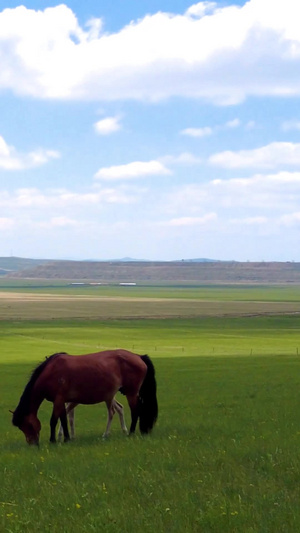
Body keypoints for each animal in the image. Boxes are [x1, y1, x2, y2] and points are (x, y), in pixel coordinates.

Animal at [10, 350, 158, 444]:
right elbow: (64, 419)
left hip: (131, 393)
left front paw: (53, 440)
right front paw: (66, 438)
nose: (32, 443)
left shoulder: (59, 399)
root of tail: (138, 356)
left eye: (27, 425)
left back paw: (131, 433)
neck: (51, 372)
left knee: (135, 412)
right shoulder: (62, 401)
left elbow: (54, 420)